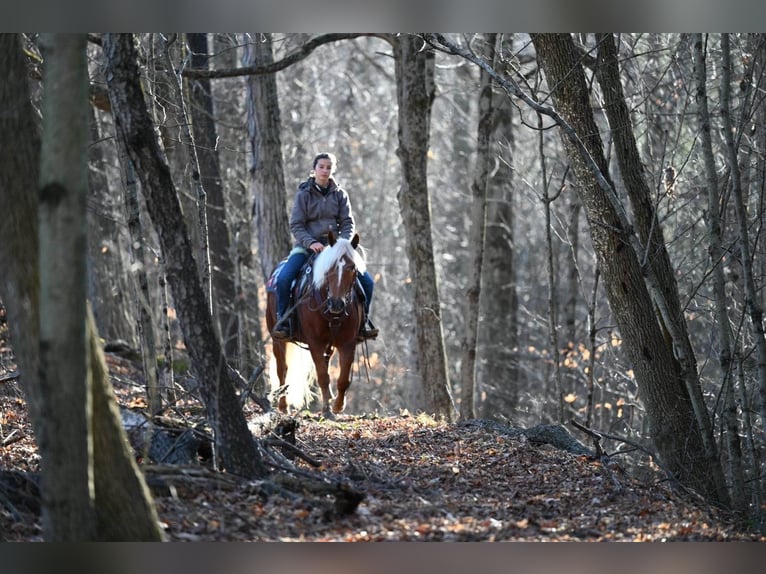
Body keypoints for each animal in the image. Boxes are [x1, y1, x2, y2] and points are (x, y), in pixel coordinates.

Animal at [268, 232, 368, 416]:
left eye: (352, 268)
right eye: (329, 268)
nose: (337, 304)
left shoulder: (347, 343)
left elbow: (342, 378)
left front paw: (337, 406)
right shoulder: (315, 342)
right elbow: (322, 376)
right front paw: (327, 410)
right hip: (277, 340)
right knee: (282, 370)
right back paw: (283, 406)